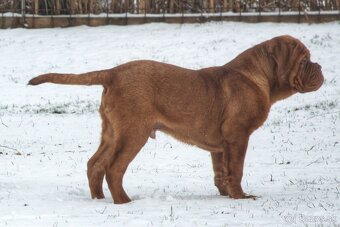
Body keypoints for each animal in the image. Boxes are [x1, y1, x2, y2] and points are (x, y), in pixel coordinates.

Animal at [29, 35, 324, 204]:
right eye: (304, 60)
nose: (320, 67)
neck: (259, 76)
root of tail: (112, 72)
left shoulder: (220, 146)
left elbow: (221, 172)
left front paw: (227, 195)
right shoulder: (238, 137)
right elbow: (237, 170)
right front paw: (242, 197)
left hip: (111, 131)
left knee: (95, 164)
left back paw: (98, 199)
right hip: (133, 132)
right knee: (113, 167)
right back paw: (124, 201)